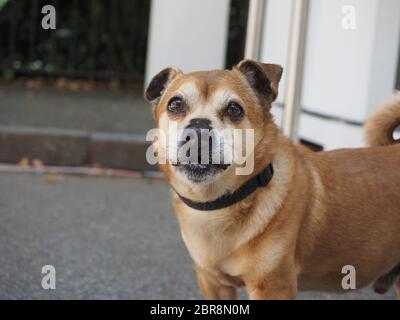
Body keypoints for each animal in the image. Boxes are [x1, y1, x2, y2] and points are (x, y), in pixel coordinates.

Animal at [144, 60, 400, 300]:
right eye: (175, 104)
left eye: (234, 109)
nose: (198, 131)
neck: (218, 205)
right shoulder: (213, 284)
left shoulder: (273, 287)